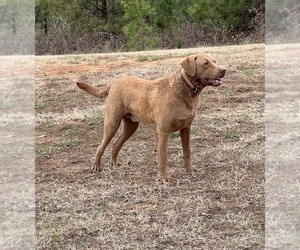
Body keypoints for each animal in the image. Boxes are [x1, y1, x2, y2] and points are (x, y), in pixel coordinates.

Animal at [76, 52, 226, 182]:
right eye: (206, 63)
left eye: (215, 61)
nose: (224, 69)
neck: (184, 88)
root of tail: (114, 83)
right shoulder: (163, 132)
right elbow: (163, 157)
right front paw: (164, 178)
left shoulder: (186, 129)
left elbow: (187, 152)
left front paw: (189, 170)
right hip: (112, 122)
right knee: (101, 146)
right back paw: (96, 166)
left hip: (131, 126)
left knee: (116, 144)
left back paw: (114, 164)